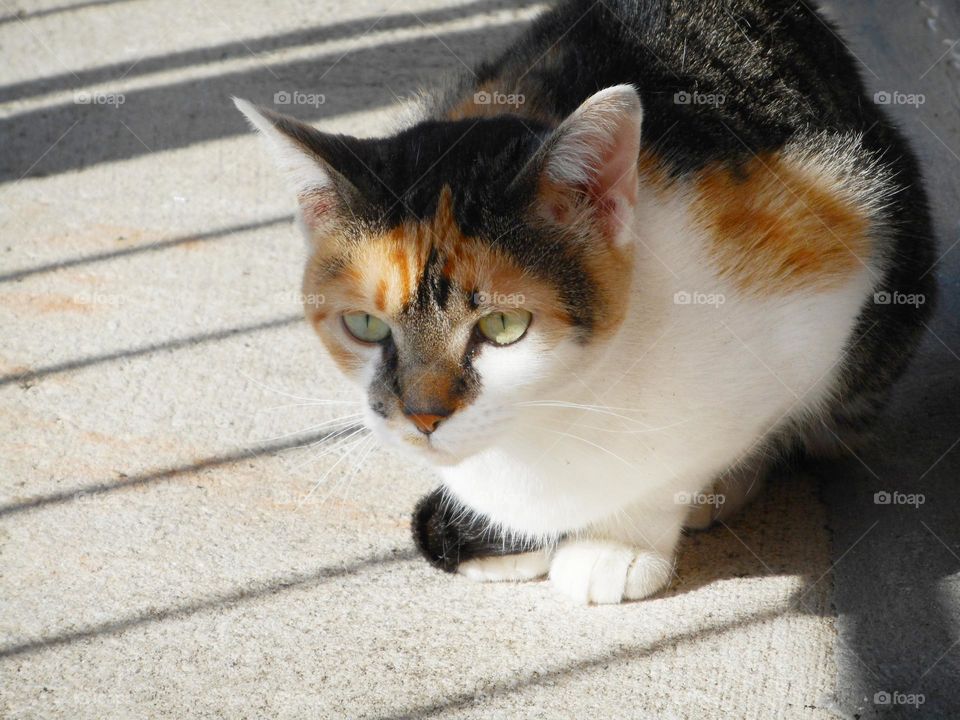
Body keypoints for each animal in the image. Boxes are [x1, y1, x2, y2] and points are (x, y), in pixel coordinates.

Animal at [236, 0, 932, 600]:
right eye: (365, 325)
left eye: (504, 324)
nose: (423, 417)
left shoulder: (824, 272)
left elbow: (692, 455)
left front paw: (619, 543)